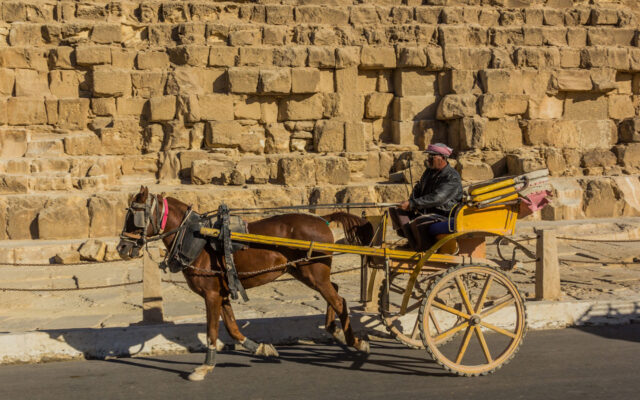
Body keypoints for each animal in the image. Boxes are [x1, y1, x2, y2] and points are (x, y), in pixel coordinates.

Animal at [117, 188, 372, 382]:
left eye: (134, 214)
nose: (122, 248)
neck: (194, 237)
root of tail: (323, 220)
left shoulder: (211, 294)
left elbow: (212, 331)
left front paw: (205, 367)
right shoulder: (222, 293)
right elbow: (232, 328)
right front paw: (260, 348)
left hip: (313, 273)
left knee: (338, 300)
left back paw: (356, 341)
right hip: (305, 272)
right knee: (335, 292)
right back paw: (335, 330)